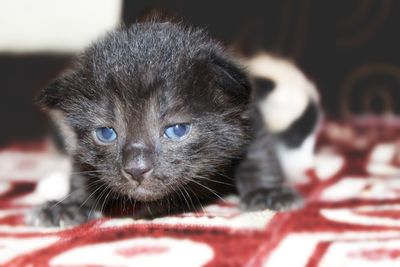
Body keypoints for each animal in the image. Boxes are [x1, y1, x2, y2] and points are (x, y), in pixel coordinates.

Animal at [27, 21, 300, 228]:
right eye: (105, 133)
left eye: (177, 130)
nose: (136, 169)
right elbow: (81, 172)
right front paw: (70, 205)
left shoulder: (250, 119)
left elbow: (258, 156)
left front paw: (266, 193)